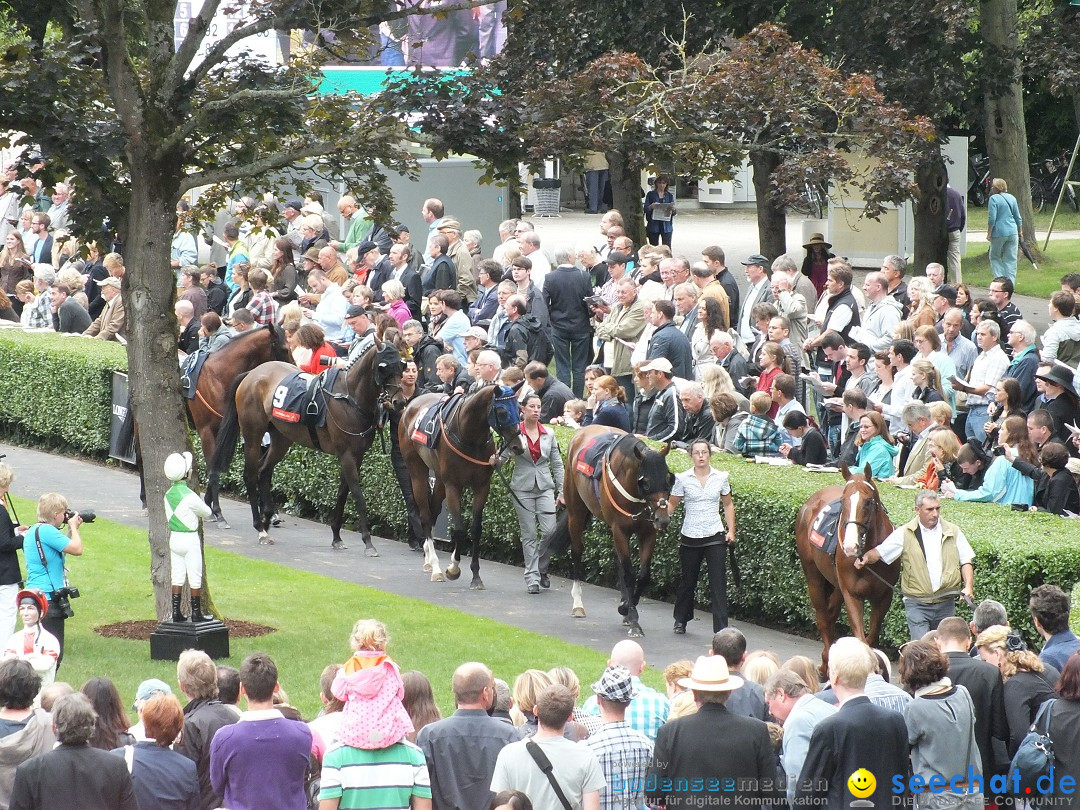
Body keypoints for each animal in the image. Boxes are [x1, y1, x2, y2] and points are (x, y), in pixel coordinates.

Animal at [210, 336, 406, 552]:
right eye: (383, 367)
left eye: (402, 365)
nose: (399, 402)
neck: (349, 397)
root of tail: (251, 374)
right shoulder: (346, 454)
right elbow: (357, 494)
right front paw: (368, 542)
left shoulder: (357, 455)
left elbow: (343, 493)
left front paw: (337, 536)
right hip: (253, 433)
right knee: (250, 475)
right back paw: (260, 528)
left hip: (281, 437)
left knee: (263, 471)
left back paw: (267, 517)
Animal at [401, 382, 527, 591]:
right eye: (501, 412)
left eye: (520, 411)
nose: (519, 446)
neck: (470, 437)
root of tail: (412, 403)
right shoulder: (453, 485)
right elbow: (459, 529)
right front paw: (453, 568)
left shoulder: (482, 486)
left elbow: (475, 529)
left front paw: (475, 575)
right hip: (416, 470)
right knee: (425, 515)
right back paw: (435, 566)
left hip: (439, 480)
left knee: (434, 511)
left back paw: (428, 555)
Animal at [552, 427, 669, 639]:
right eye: (646, 482)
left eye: (669, 479)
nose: (663, 519)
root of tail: (583, 431)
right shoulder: (620, 529)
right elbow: (629, 573)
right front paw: (633, 618)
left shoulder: (648, 531)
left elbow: (643, 574)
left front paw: (627, 608)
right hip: (576, 511)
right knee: (577, 551)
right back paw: (578, 603)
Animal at [799, 466, 898, 673]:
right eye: (843, 501)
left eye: (868, 502)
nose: (851, 547)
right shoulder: (852, 594)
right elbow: (861, 637)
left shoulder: (884, 596)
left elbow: (872, 636)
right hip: (813, 576)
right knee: (823, 617)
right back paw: (826, 662)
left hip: (837, 585)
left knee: (830, 612)